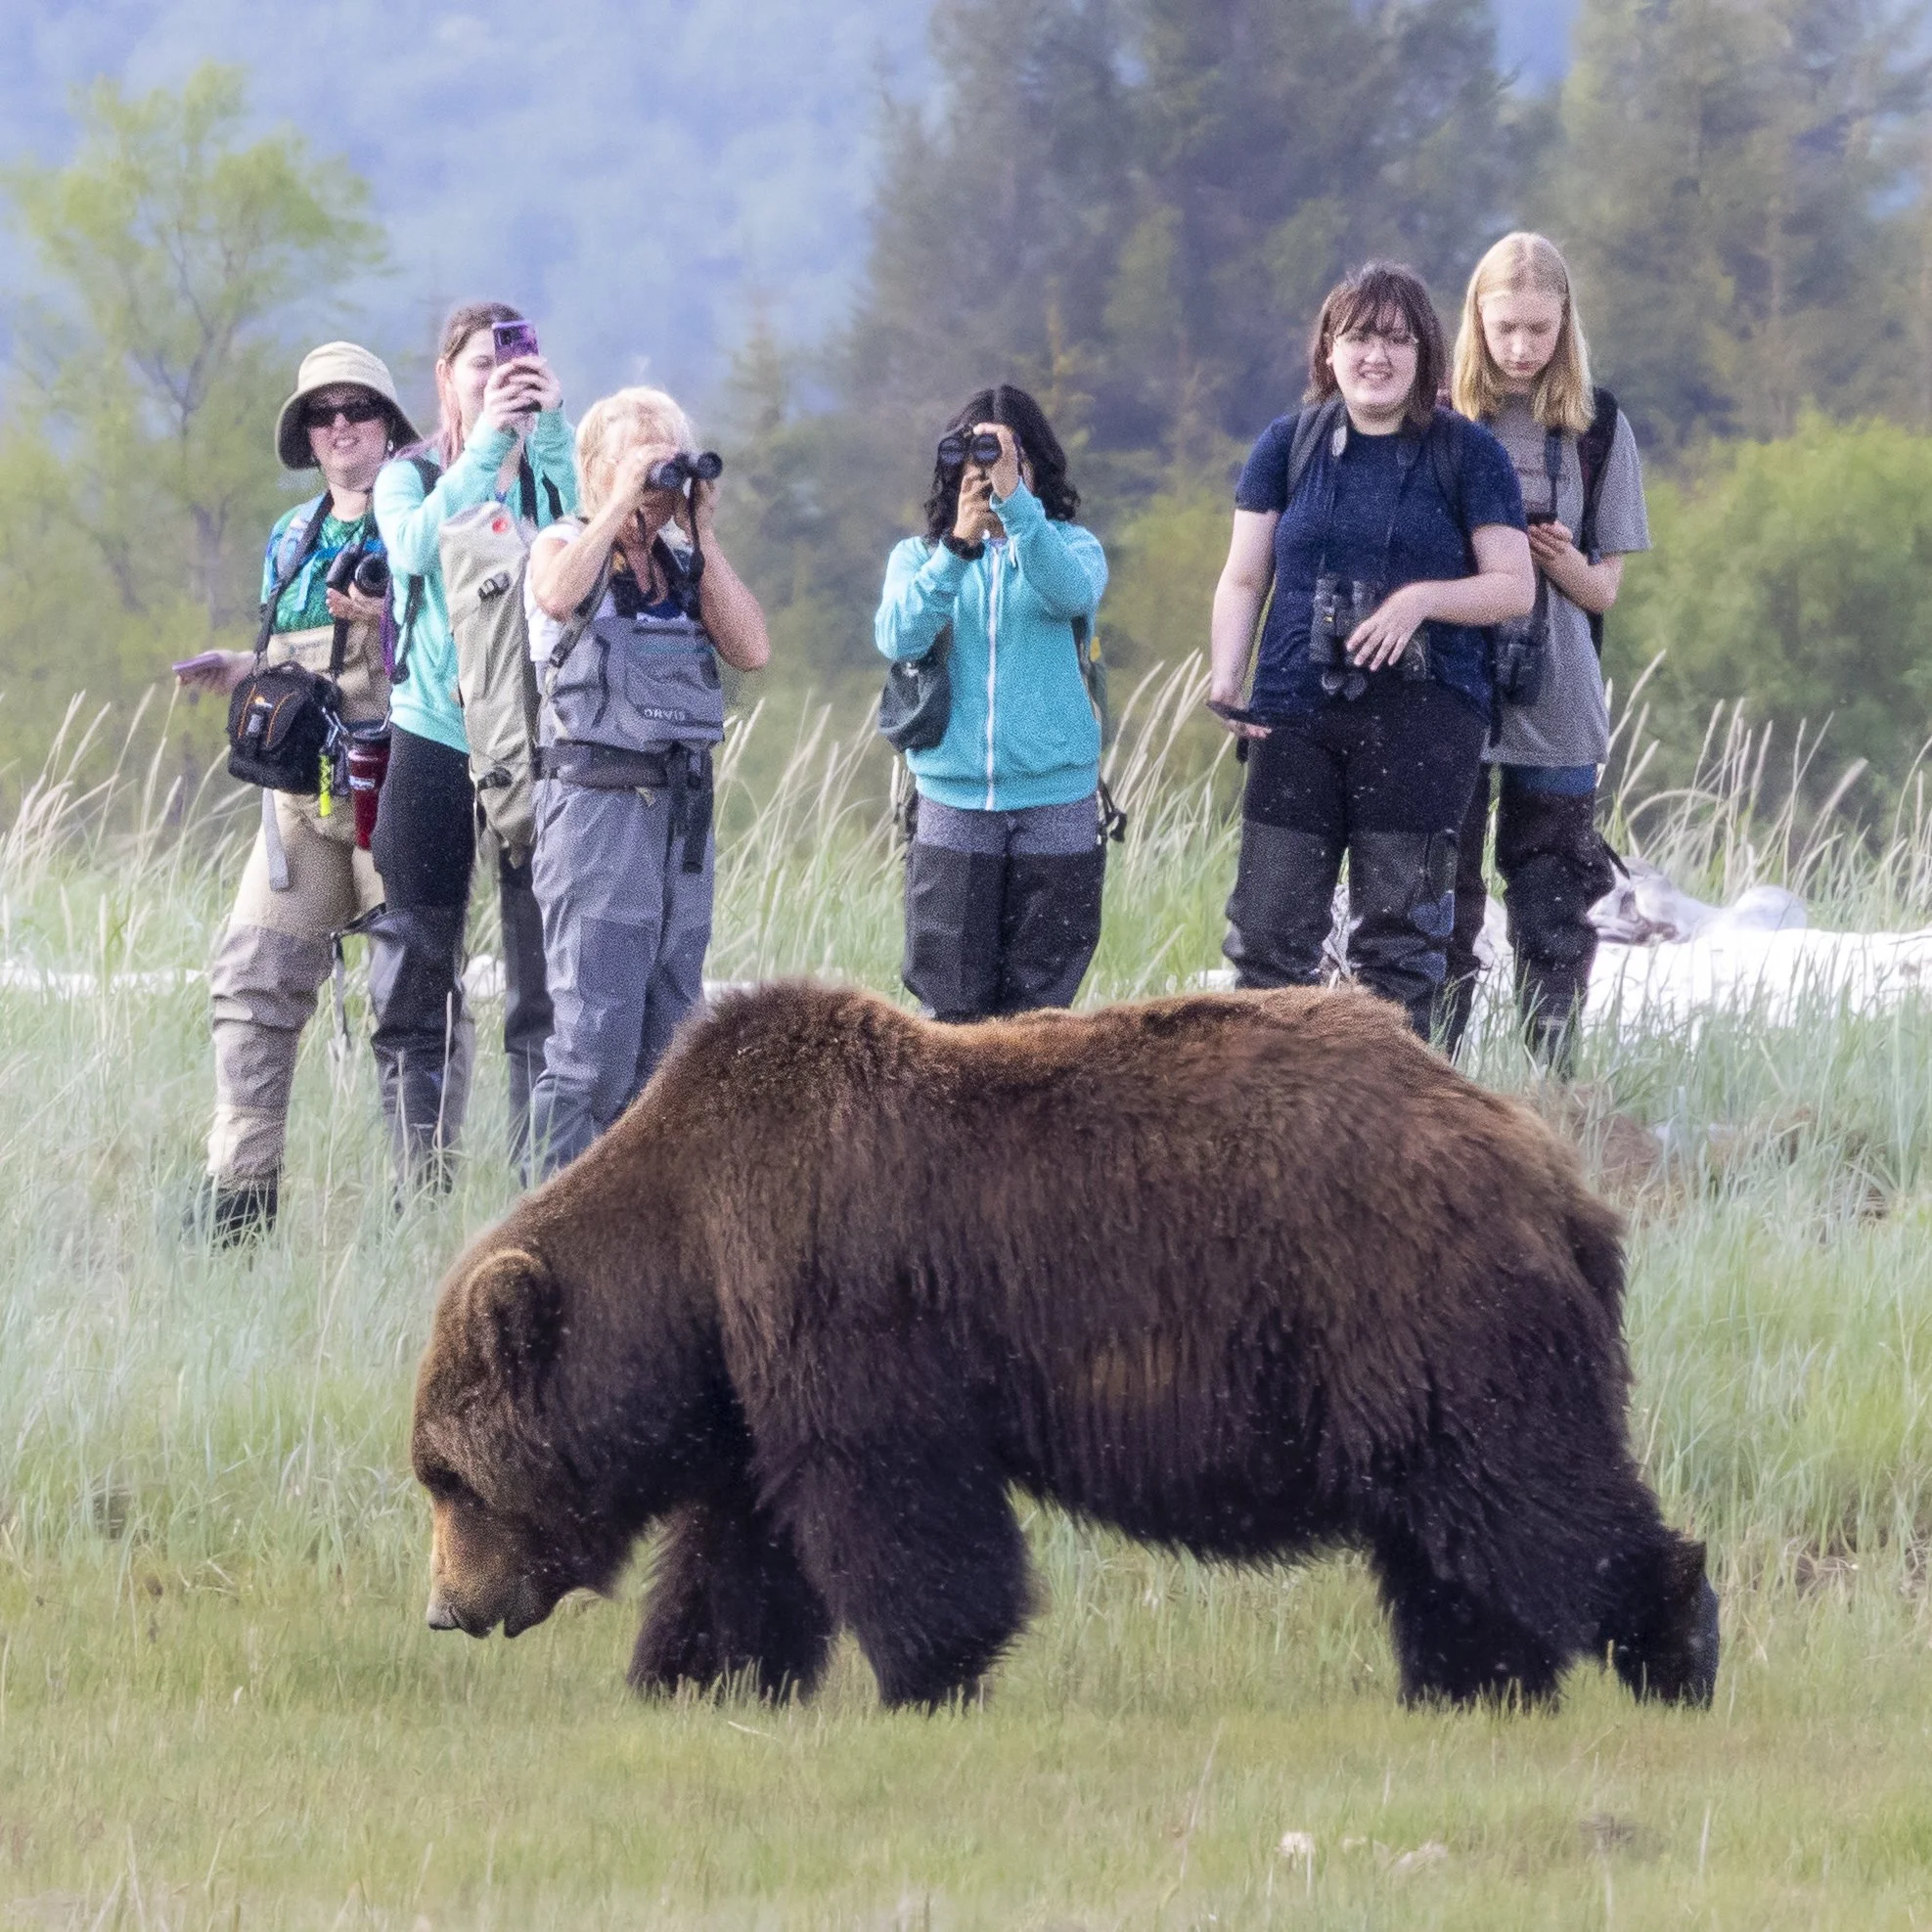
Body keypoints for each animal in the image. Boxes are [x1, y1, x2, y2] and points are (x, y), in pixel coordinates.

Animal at [412, 979, 1718, 1712]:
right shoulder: (747, 1372)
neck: (685, 1260)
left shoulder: (845, 1304)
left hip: (1406, 1303)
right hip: (1398, 1353)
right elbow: (741, 1544)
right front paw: (691, 1675)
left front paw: (926, 1671)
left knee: (1526, 1492)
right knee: (1452, 1531)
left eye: (446, 1475)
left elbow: (897, 1505)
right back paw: (1474, 1682)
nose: (445, 1609)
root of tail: (1552, 1167)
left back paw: (1675, 1641)